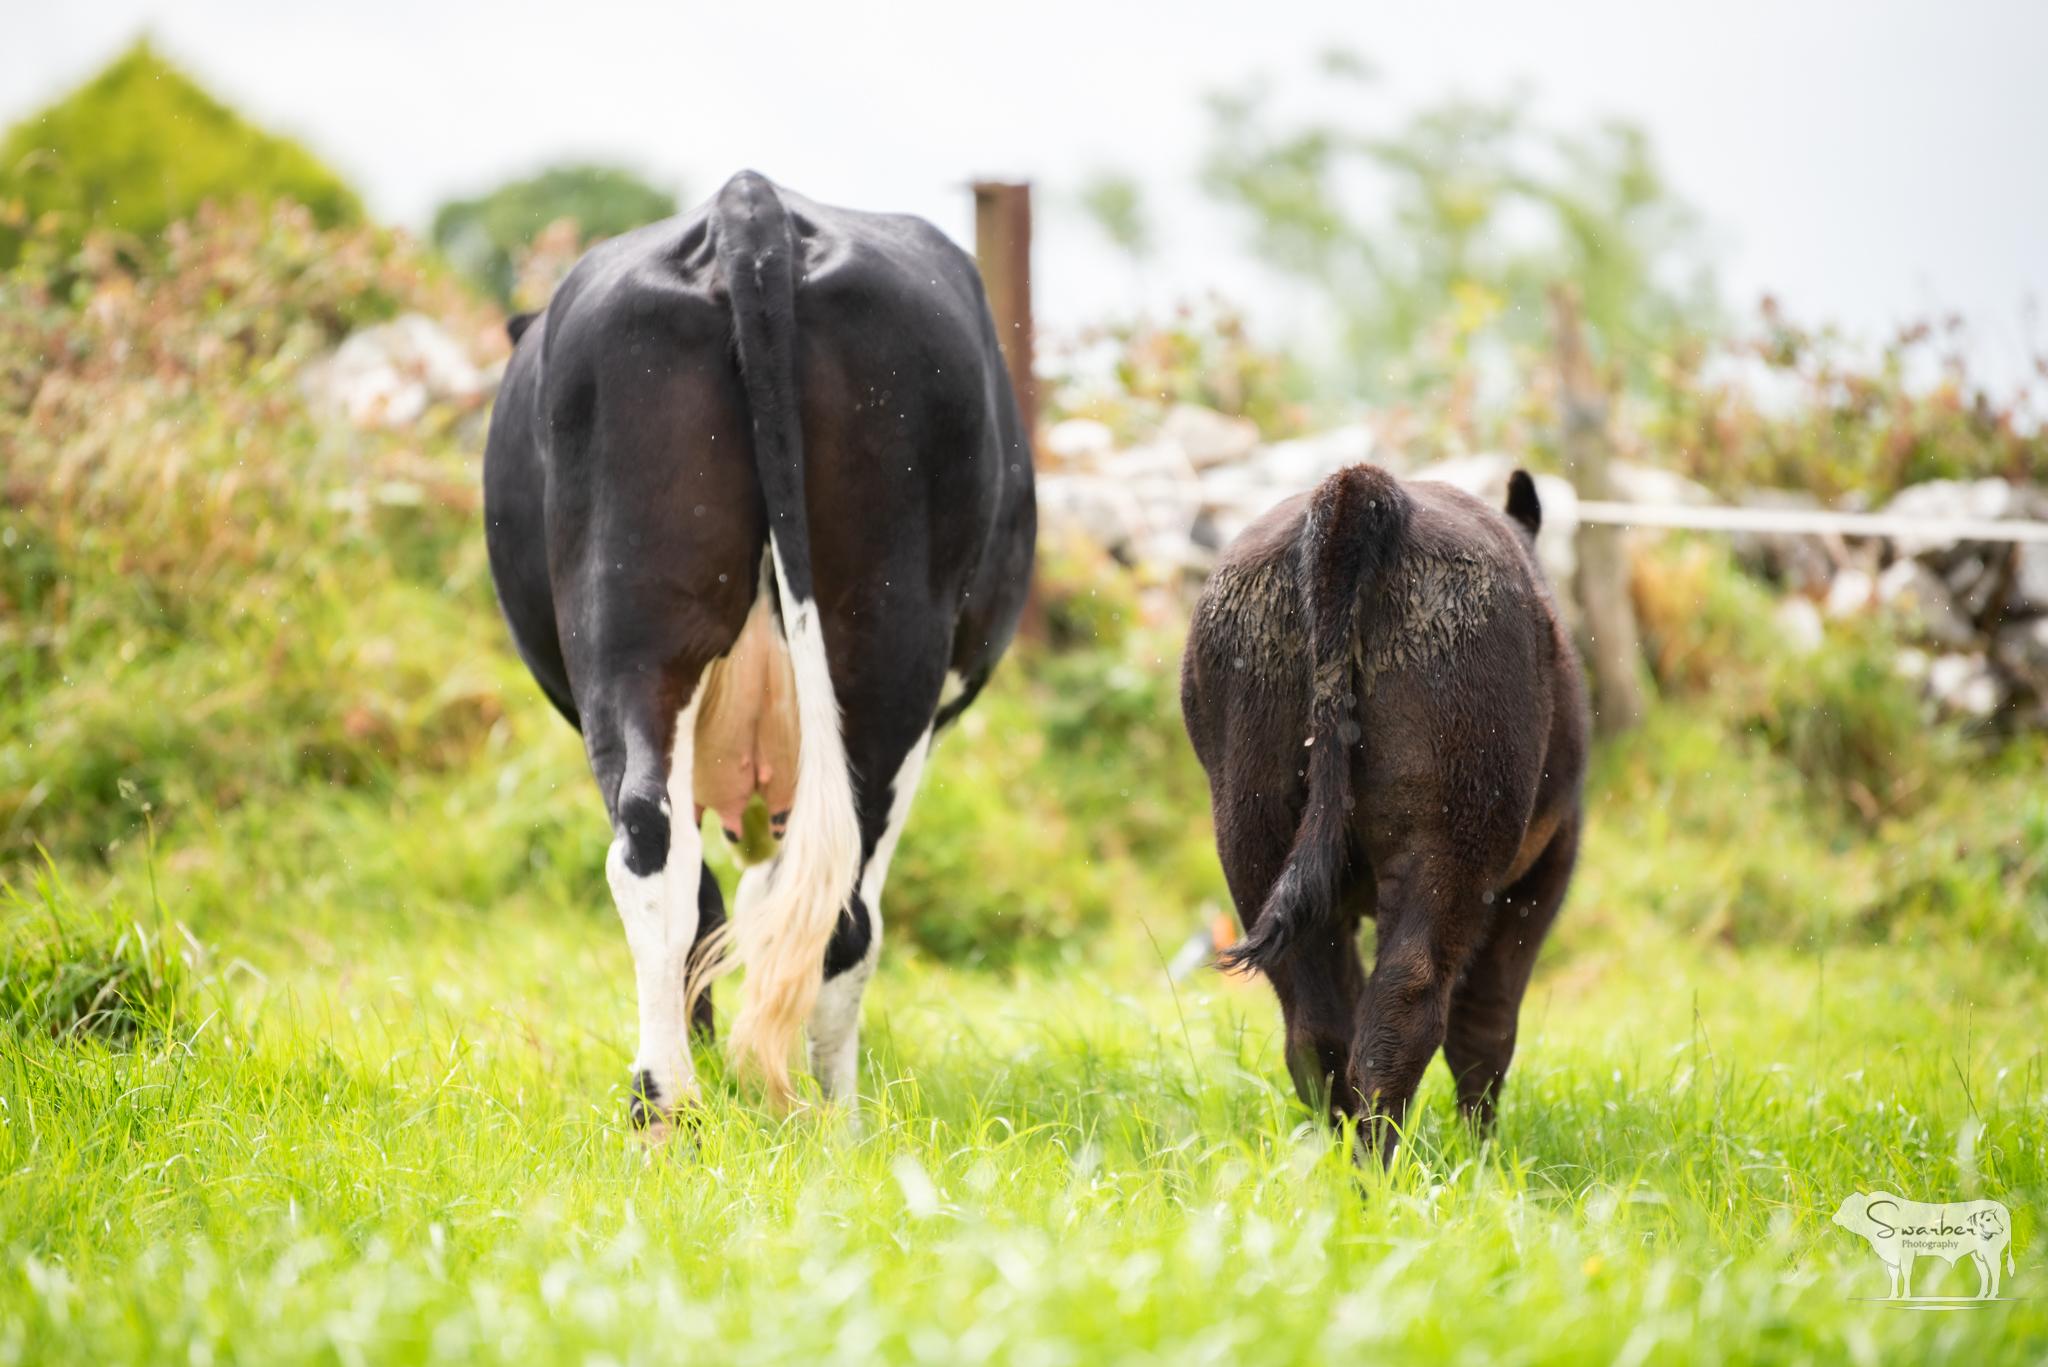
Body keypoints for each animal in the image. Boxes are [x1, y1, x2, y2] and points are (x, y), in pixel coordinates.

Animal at [483, 171, 1035, 1125]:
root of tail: (751, 203)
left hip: (633, 629)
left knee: (655, 847)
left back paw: (669, 1105)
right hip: (888, 653)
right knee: (839, 905)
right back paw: (835, 1118)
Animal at [1181, 464, 1586, 1163]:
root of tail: (1358, 486)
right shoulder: (1545, 868)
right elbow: (1490, 1023)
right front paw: (1482, 1157)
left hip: (1251, 819)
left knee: (1317, 1027)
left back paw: (1338, 1164)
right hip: (1456, 828)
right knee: (1409, 1004)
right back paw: (1381, 1172)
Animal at [1832, 1192, 2015, 1299]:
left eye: (1847, 1205)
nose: (1834, 1217)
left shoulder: (1906, 1255)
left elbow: (1905, 1274)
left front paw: (1906, 1296)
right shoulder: (1891, 1258)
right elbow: (1893, 1275)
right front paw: (1892, 1296)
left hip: (1990, 1253)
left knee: (1995, 1270)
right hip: (1977, 1255)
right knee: (1985, 1273)